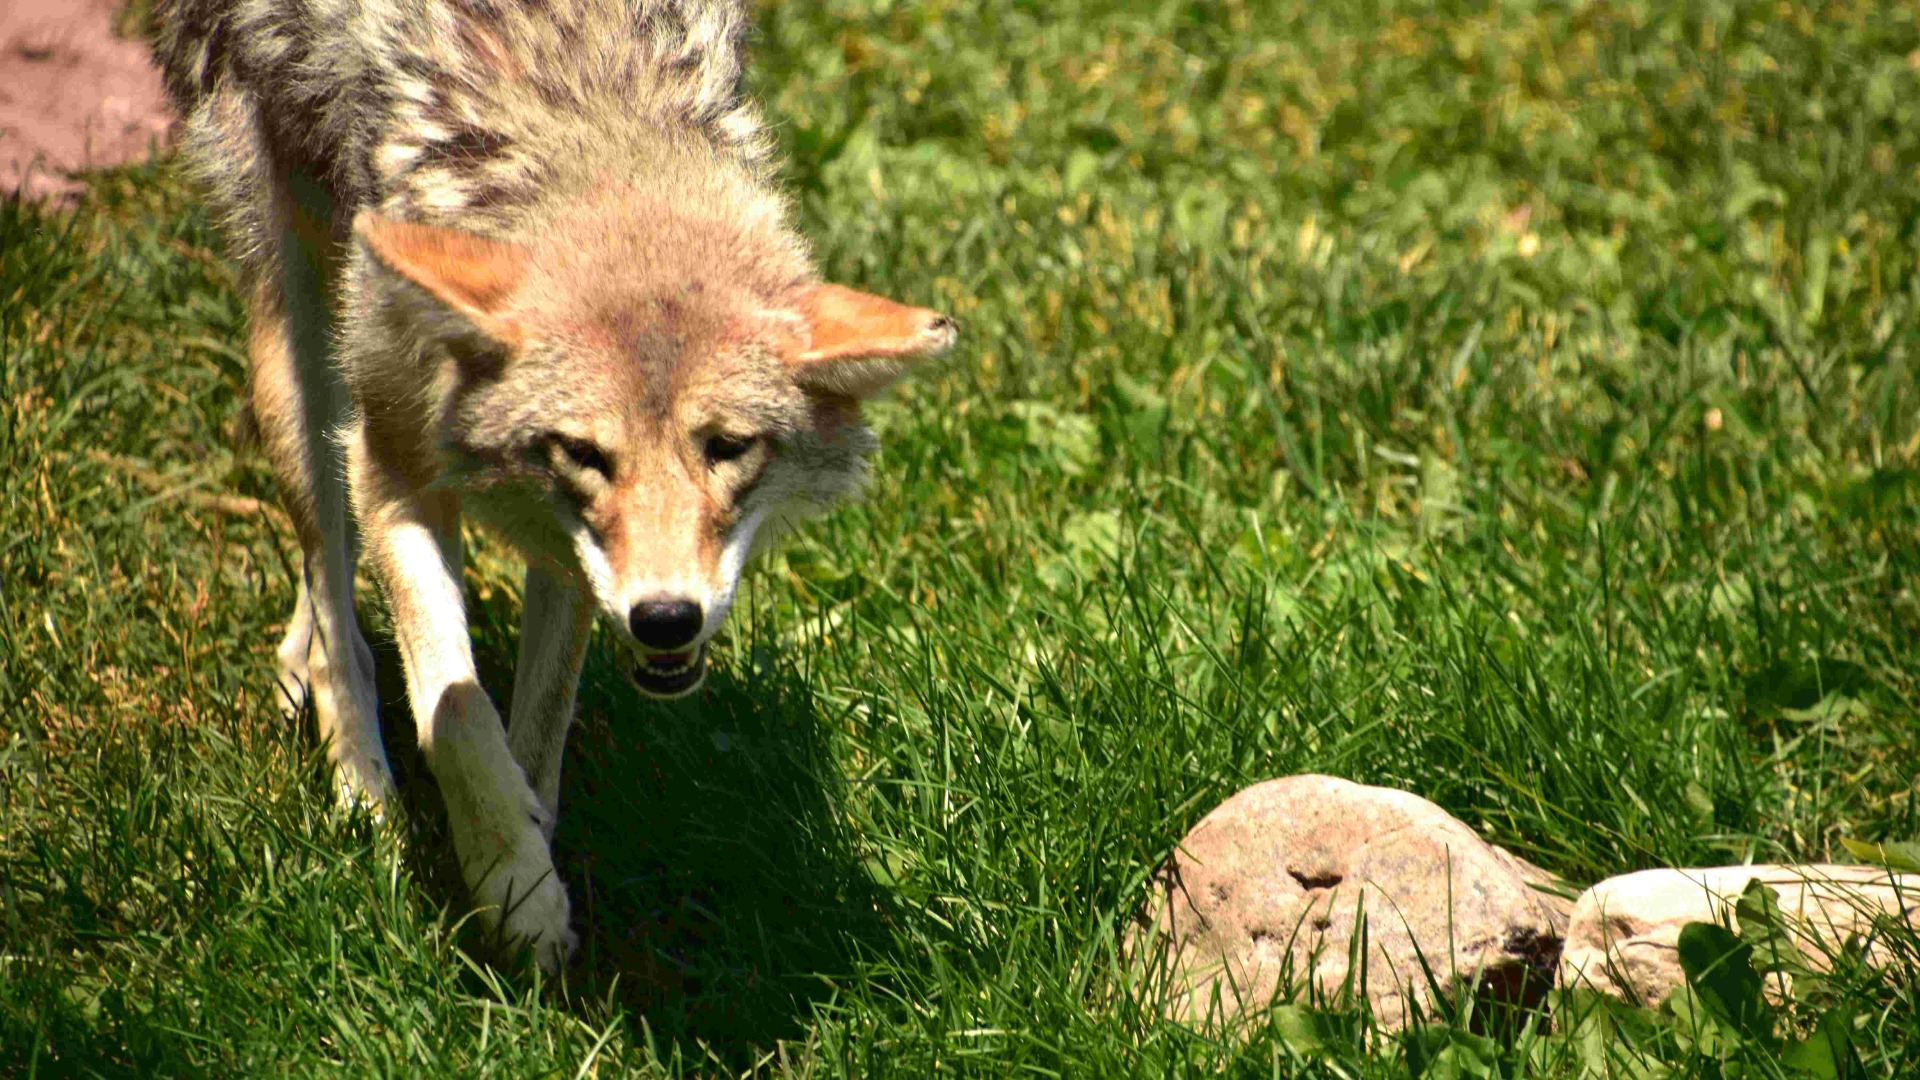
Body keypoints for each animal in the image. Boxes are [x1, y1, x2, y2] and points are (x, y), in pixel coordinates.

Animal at [150, 0, 956, 970]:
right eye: (584, 453)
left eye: (727, 447)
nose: (665, 617)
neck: (589, 118)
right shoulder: (391, 467)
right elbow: (456, 711)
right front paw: (514, 888)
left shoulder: (571, 556)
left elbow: (540, 723)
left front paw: (531, 865)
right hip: (304, 364)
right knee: (336, 600)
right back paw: (364, 795)